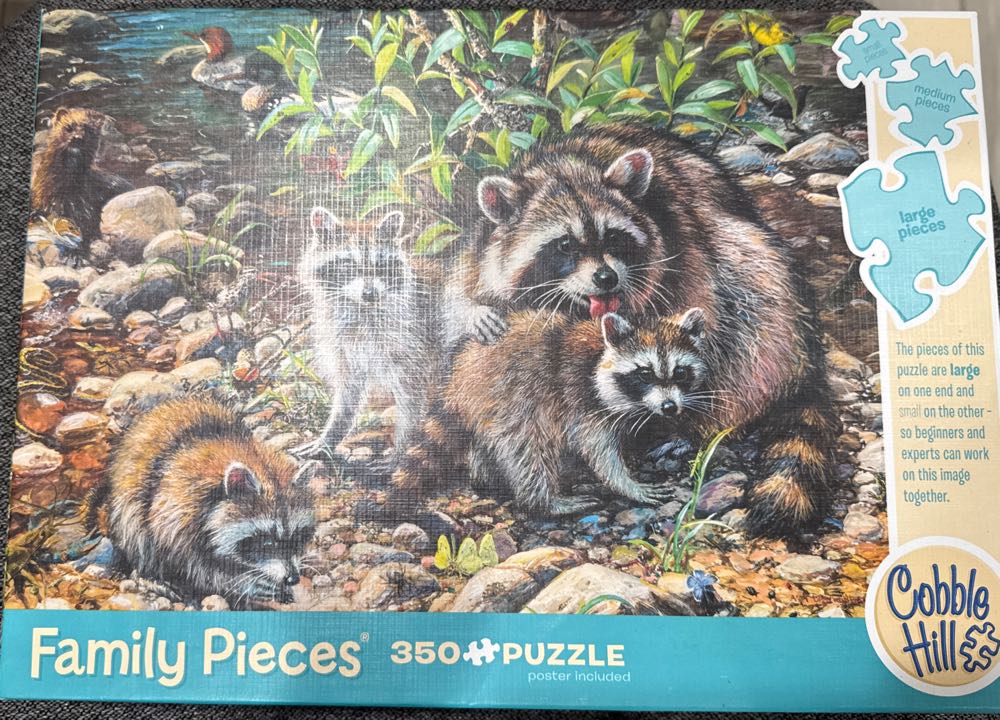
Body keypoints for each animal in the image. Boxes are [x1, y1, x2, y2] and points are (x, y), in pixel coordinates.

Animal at [84, 398, 317, 607]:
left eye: (298, 536)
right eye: (267, 542)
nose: (293, 578)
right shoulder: (174, 511)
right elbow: (192, 565)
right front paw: (243, 582)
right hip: (129, 500)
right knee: (137, 534)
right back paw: (151, 576)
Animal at [294, 208, 444, 460]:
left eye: (381, 265)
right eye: (348, 265)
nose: (370, 293)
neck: (361, 310)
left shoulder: (413, 344)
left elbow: (411, 400)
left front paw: (403, 448)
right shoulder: (344, 348)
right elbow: (348, 396)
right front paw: (330, 436)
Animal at [379, 308, 709, 517]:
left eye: (680, 372)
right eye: (644, 373)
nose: (669, 408)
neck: (600, 353)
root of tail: (459, 380)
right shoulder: (581, 399)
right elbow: (598, 449)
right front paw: (626, 484)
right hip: (512, 399)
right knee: (526, 449)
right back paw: (542, 501)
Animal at [449, 124, 840, 536]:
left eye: (613, 237)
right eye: (565, 245)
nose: (606, 278)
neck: (567, 165)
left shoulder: (681, 244)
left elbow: (699, 315)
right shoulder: (484, 244)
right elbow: (460, 287)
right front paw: (473, 310)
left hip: (763, 281)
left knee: (749, 312)